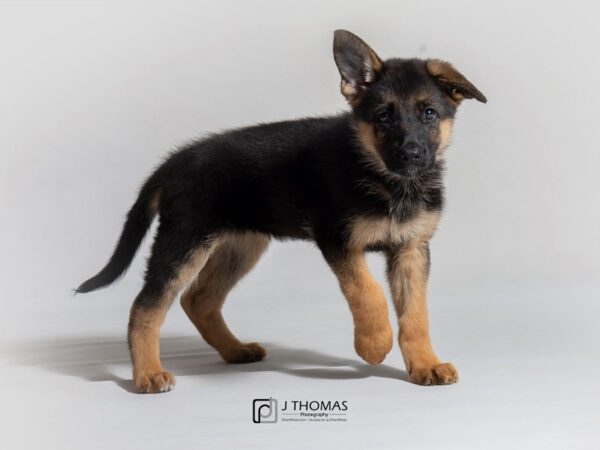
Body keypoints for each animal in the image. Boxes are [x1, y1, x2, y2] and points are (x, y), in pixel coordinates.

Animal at [77, 29, 486, 392]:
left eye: (429, 113)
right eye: (383, 117)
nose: (411, 155)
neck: (386, 179)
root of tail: (171, 163)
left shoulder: (411, 250)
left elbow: (416, 314)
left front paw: (425, 365)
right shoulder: (337, 239)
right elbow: (366, 291)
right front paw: (374, 344)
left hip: (240, 247)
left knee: (199, 300)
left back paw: (234, 351)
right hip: (184, 243)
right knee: (145, 307)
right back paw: (147, 374)